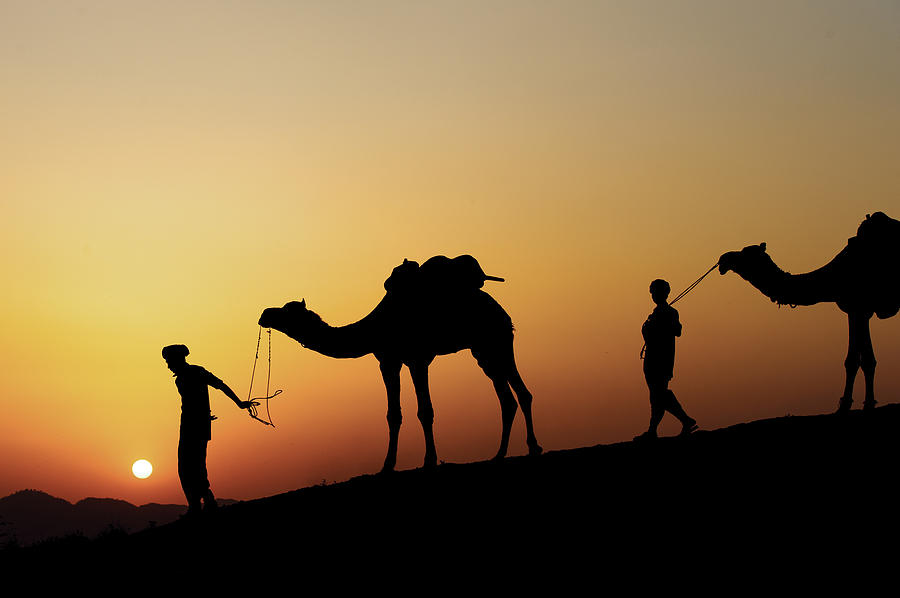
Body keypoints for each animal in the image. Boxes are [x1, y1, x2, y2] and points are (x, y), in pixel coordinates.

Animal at [258, 256, 540, 474]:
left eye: (288, 310)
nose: (264, 314)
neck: (376, 326)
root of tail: (498, 308)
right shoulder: (388, 361)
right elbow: (393, 414)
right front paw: (386, 466)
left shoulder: (417, 358)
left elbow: (425, 411)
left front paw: (429, 461)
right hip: (483, 350)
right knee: (507, 397)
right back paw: (500, 454)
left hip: (498, 338)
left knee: (520, 392)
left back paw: (533, 447)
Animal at [716, 213, 900, 414]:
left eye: (745, 253)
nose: (723, 259)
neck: (834, 276)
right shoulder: (856, 309)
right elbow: (858, 360)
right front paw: (856, 404)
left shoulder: (858, 305)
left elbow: (860, 360)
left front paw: (856, 405)